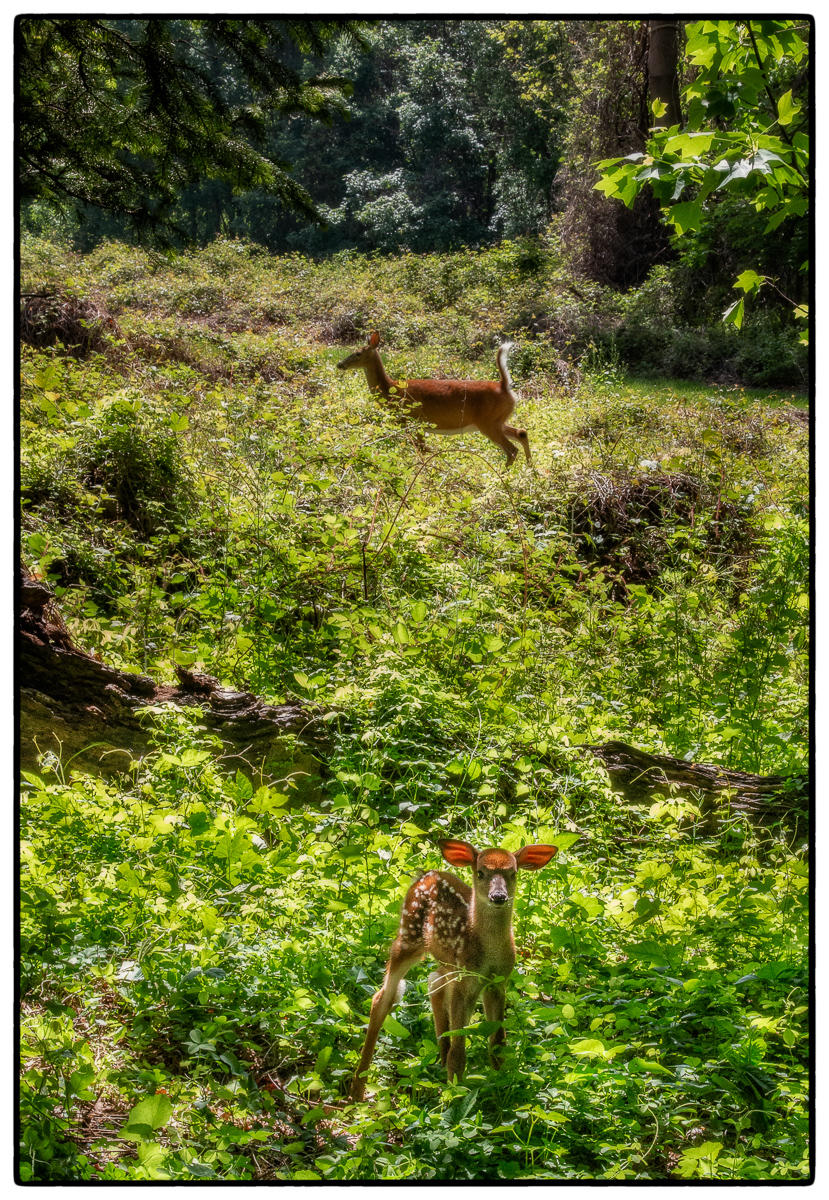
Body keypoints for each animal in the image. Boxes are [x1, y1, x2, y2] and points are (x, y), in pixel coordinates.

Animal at [335, 336, 532, 470]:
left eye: (358, 353)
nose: (339, 364)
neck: (391, 389)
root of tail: (504, 386)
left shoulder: (414, 420)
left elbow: (422, 449)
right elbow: (424, 449)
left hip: (489, 422)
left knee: (511, 449)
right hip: (496, 420)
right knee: (522, 432)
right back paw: (531, 471)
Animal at [350, 840, 556, 1099]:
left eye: (513, 873)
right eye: (481, 872)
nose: (499, 896)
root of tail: (426, 874)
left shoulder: (497, 981)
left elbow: (498, 1041)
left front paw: (501, 1081)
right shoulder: (465, 980)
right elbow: (459, 1048)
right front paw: (454, 1094)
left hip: (445, 962)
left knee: (433, 982)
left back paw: (439, 1057)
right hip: (409, 936)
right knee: (382, 997)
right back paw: (358, 1089)